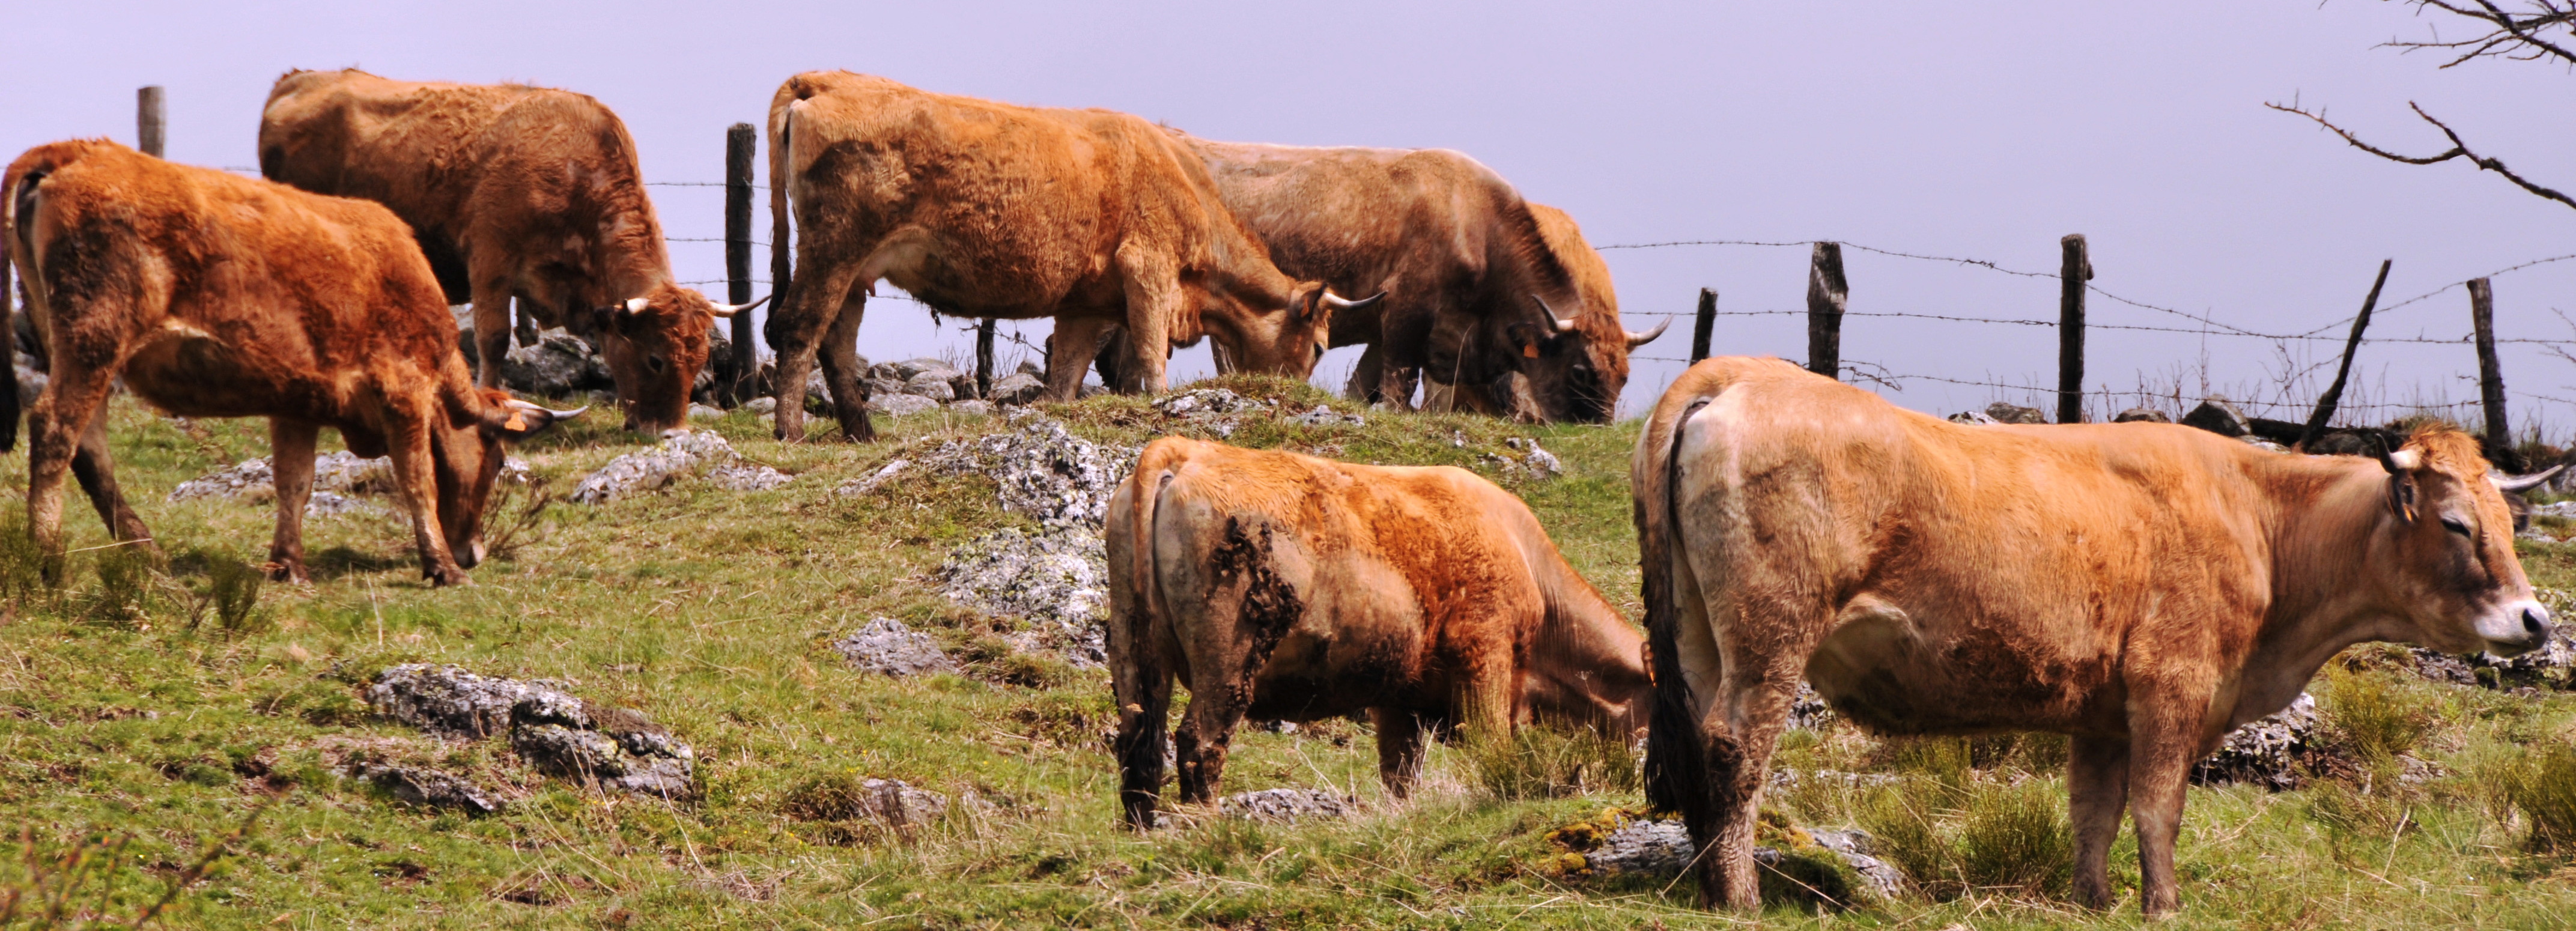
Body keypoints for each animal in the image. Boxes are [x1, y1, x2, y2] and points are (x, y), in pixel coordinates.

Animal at [4, 141, 579, 583]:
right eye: (498, 461)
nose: (475, 552)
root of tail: (73, 150)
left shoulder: (297, 404)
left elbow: (295, 483)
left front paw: (288, 565)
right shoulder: (404, 391)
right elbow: (418, 479)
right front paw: (441, 566)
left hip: (75, 346)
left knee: (91, 449)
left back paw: (146, 552)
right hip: (96, 338)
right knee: (56, 428)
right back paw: (48, 560)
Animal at [261, 70, 762, 433]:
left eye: (699, 360)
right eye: (655, 358)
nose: (671, 433)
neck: (573, 173)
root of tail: (298, 80)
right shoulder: (490, 260)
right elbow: (495, 339)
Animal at [757, 72, 1381, 443]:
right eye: (1320, 347)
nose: (1297, 398)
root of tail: (823, 79)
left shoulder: (1086, 305)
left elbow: (1065, 379)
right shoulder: (1148, 269)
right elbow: (1150, 357)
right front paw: (1160, 405)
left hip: (855, 269)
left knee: (837, 340)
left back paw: (860, 429)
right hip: (836, 247)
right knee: (800, 327)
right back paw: (790, 430)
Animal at [1107, 435, 1648, 825]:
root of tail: (1187, 450)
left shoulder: (1398, 696)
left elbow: (1399, 777)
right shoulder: (1486, 658)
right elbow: (1492, 748)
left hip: (1132, 646)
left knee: (1139, 745)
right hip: (1229, 657)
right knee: (1199, 741)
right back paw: (1207, 827)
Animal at [1628, 356, 2555, 912]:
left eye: (2508, 519)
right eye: (2456, 523)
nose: (2535, 618)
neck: (2260, 518)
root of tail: (1740, 370)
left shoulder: (2103, 712)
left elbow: (2093, 812)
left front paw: (2094, 900)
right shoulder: (2172, 686)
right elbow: (2158, 806)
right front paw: (2164, 905)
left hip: (1702, 639)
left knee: (1697, 745)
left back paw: (1707, 884)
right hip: (1772, 637)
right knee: (1735, 750)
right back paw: (1741, 897)